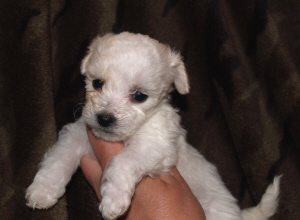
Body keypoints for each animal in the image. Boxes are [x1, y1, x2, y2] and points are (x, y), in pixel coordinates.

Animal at [26, 32, 282, 220]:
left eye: (139, 96)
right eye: (97, 83)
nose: (104, 118)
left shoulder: (154, 145)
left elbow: (121, 161)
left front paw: (113, 200)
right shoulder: (79, 133)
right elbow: (58, 158)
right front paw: (42, 191)